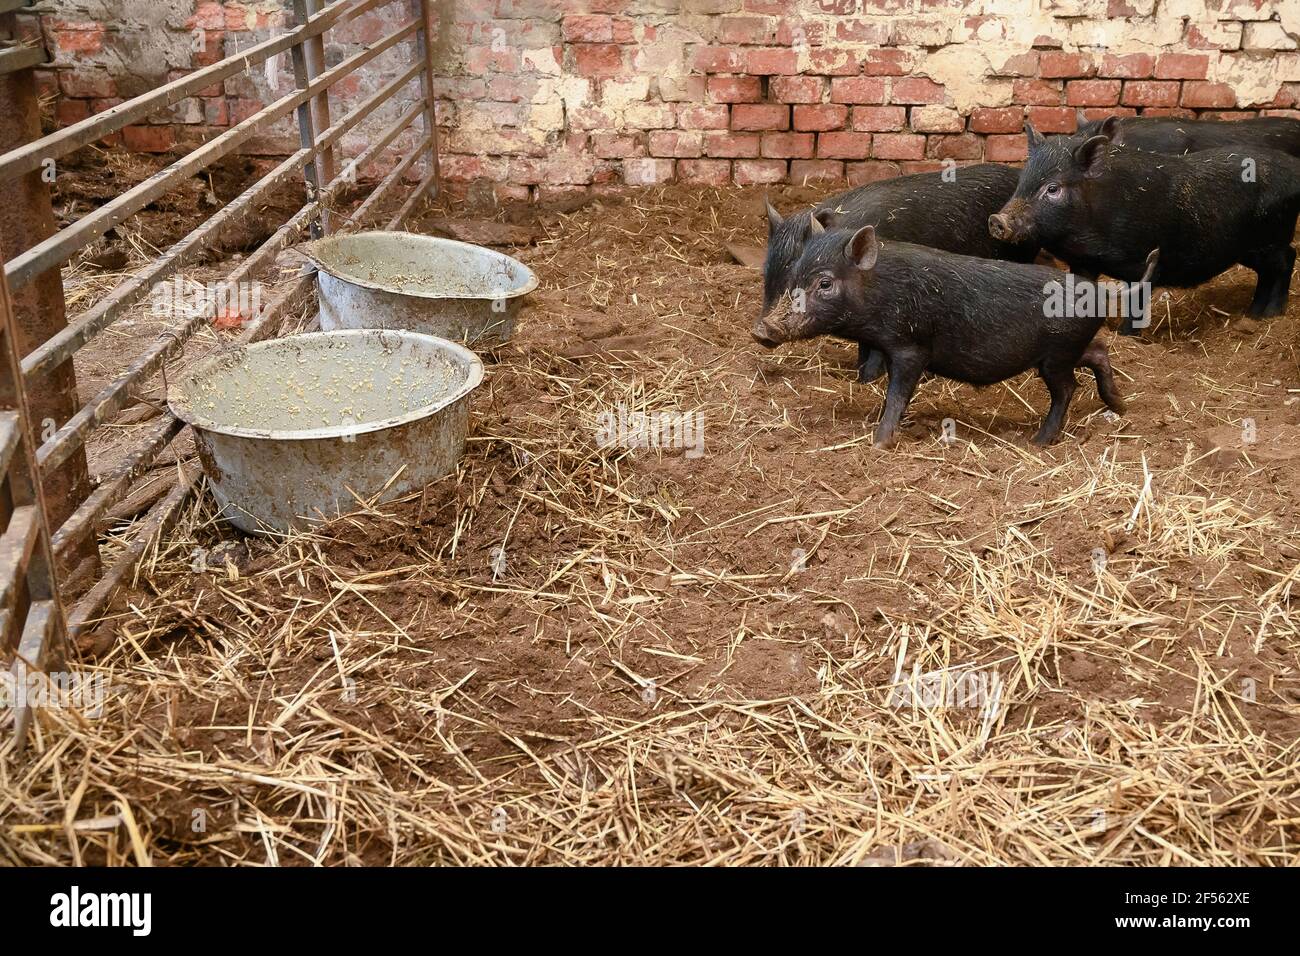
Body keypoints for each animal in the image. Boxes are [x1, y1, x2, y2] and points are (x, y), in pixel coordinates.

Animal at [754, 227, 1138, 447]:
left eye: (825, 283)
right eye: (794, 275)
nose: (762, 329)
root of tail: (1100, 295)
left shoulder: (911, 347)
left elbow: (898, 394)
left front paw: (879, 443)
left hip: (1057, 356)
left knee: (1068, 387)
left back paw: (1037, 442)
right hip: (1063, 353)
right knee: (1099, 351)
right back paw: (1119, 406)